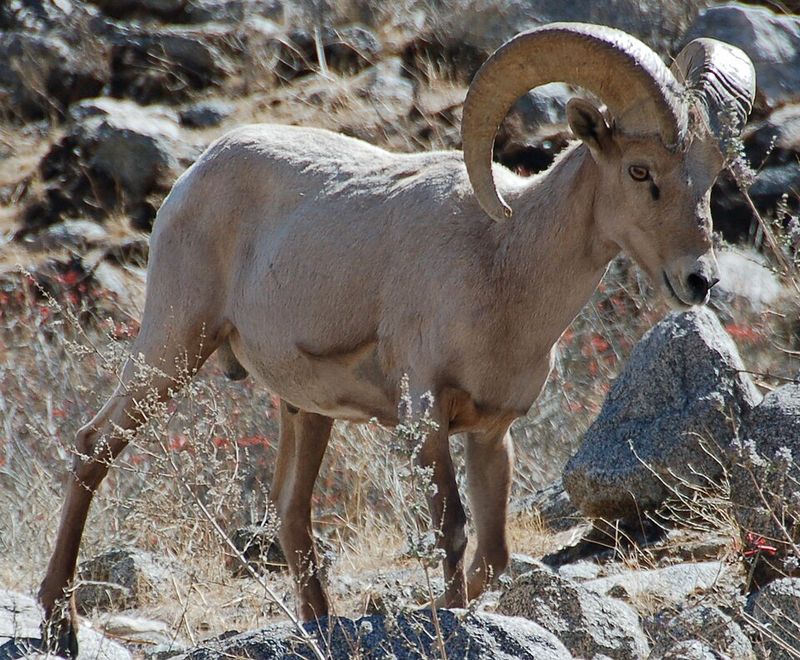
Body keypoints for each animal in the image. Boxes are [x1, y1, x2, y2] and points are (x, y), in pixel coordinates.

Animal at [38, 23, 755, 655]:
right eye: (639, 171)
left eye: (710, 173)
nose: (699, 280)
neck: (504, 264)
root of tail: (197, 173)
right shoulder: (426, 417)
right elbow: (452, 532)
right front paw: (447, 619)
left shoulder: (492, 433)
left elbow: (492, 553)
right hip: (172, 347)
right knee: (93, 447)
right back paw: (57, 624)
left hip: (303, 411)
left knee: (291, 514)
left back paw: (318, 627)